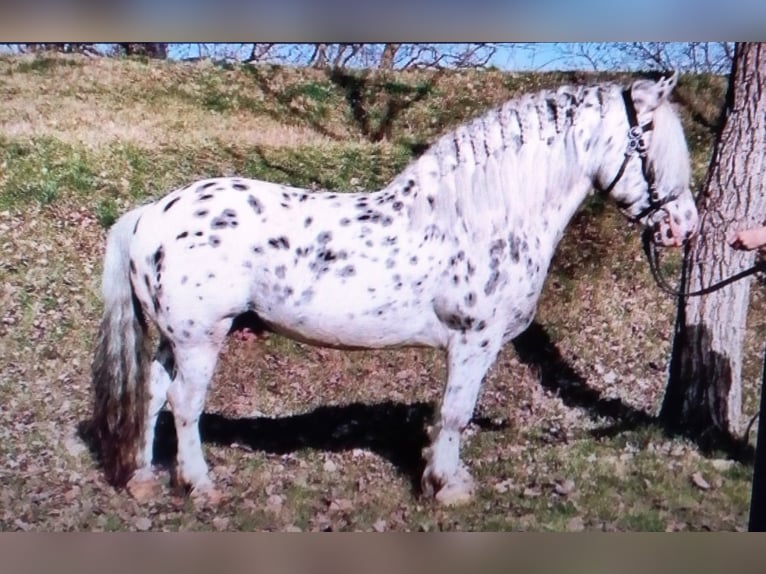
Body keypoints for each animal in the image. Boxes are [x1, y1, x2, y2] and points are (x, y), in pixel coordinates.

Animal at [93, 73, 700, 508]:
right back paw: (199, 485)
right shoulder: (474, 341)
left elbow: (447, 413)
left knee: (152, 395)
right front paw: (448, 487)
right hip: (201, 338)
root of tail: (153, 212)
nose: (684, 228)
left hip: (174, 339)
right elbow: (456, 413)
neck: (483, 215)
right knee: (183, 403)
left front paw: (441, 476)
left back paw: (143, 480)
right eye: (651, 147)